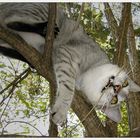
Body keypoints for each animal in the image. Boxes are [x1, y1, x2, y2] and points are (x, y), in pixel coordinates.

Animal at [0, 2, 139, 124]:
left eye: (114, 100)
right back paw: (44, 29)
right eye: (125, 83)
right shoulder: (67, 53)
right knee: (11, 22)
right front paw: (61, 111)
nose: (117, 88)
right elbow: (68, 88)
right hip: (44, 12)